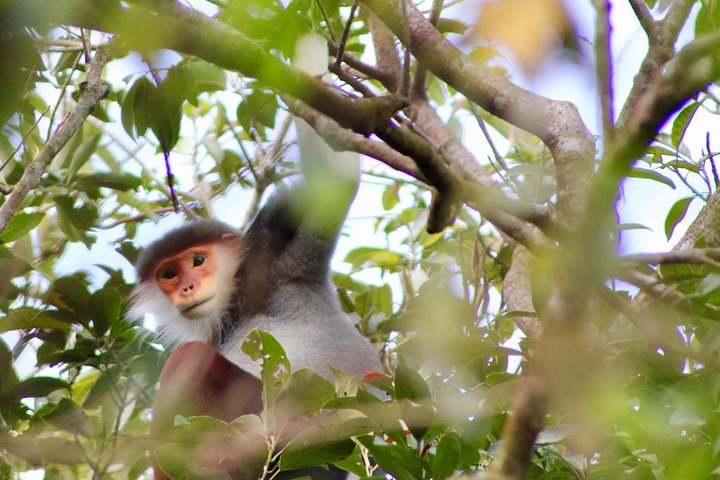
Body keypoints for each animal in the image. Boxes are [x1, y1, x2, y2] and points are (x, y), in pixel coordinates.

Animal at [130, 34, 383, 479]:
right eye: (169, 274)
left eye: (198, 262)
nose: (188, 287)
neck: (238, 301)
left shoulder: (275, 251)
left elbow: (337, 180)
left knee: (190, 359)